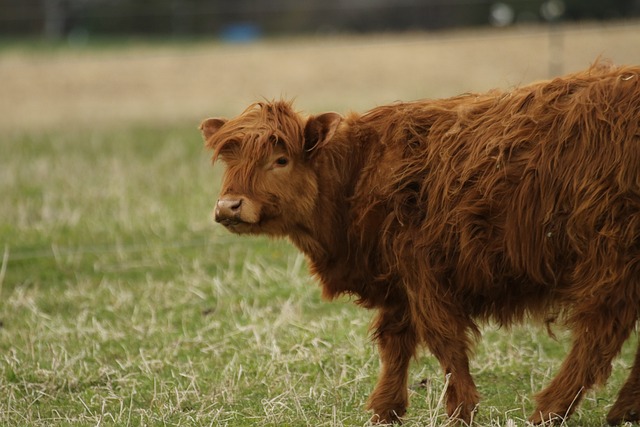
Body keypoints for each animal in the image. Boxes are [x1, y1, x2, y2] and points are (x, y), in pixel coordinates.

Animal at [202, 61, 640, 426]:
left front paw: (461, 410)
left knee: (599, 331)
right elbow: (394, 343)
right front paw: (386, 410)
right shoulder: (397, 280)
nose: (229, 205)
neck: (354, 178)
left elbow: (445, 342)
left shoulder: (423, 273)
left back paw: (550, 410)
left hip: (609, 254)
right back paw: (622, 410)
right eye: (229, 160)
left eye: (280, 160)